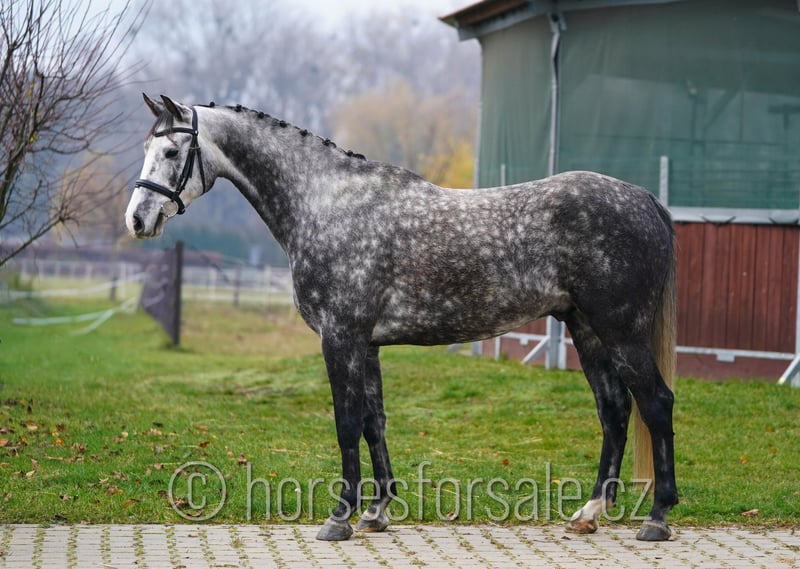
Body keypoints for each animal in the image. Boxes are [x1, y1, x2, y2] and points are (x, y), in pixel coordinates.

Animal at [125, 94, 678, 542]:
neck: (326, 203)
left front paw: (339, 518)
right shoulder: (366, 344)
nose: (137, 220)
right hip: (586, 329)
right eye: (147, 148)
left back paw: (657, 518)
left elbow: (346, 423)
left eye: (171, 152)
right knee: (614, 409)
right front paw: (376, 512)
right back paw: (590, 512)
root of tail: (645, 199)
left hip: (620, 330)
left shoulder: (340, 338)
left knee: (655, 403)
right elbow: (375, 423)